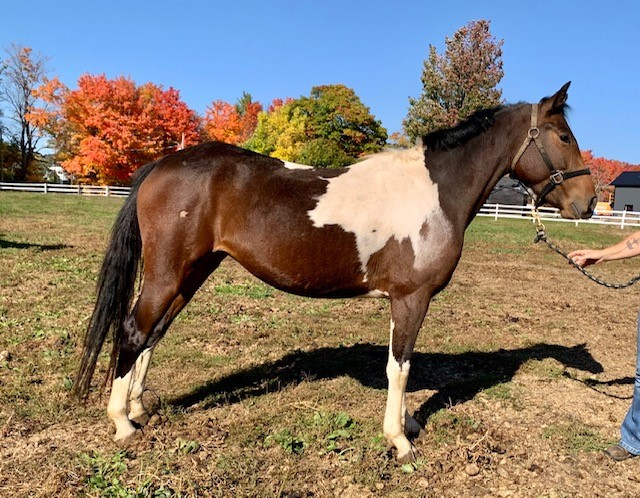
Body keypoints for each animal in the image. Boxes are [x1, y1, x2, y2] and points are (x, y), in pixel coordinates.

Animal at [73, 82, 596, 463]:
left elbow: (403, 365)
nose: (589, 203)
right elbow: (400, 367)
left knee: (154, 331)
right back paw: (122, 423)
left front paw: (407, 425)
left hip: (191, 272)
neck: (435, 191)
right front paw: (400, 441)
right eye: (565, 137)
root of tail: (163, 164)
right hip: (169, 273)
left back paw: (139, 407)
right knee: (134, 330)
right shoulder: (411, 298)